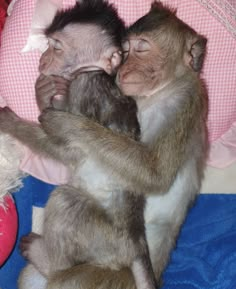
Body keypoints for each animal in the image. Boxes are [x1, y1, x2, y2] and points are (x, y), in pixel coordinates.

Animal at [18, 0, 157, 288]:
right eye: (47, 45)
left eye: (56, 46)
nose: (42, 60)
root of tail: (137, 242)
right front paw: (44, 90)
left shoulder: (86, 83)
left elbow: (64, 142)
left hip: (105, 239)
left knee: (67, 201)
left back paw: (45, 260)